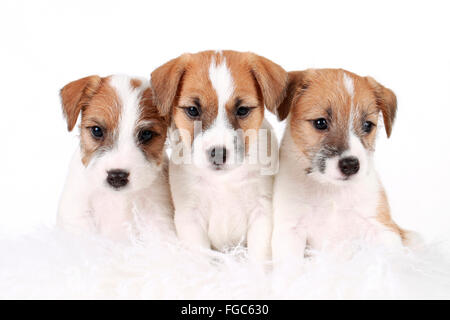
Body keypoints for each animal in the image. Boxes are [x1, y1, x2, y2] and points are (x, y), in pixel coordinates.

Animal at [150, 48, 284, 262]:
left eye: (242, 110)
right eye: (193, 110)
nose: (218, 154)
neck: (223, 181)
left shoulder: (262, 214)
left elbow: (259, 259)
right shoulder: (190, 218)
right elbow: (202, 259)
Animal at [268, 69, 414, 262]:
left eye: (367, 125)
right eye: (320, 122)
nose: (351, 165)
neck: (332, 190)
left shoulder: (382, 226)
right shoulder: (290, 230)